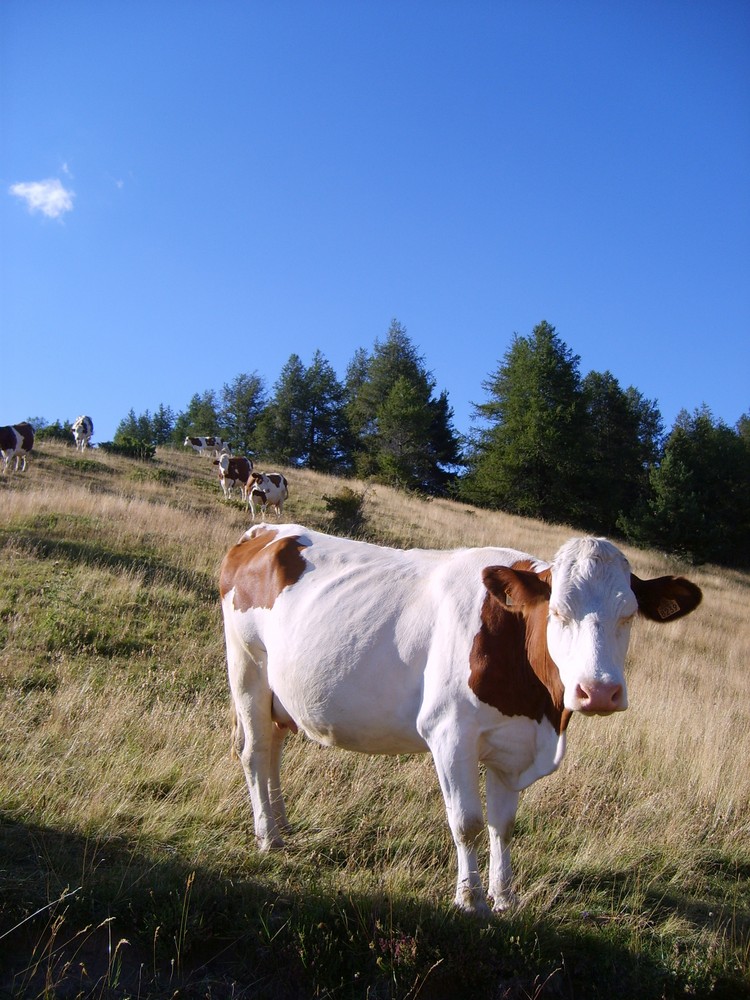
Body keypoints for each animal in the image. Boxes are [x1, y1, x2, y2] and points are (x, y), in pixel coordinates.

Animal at [220, 524, 704, 916]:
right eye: (558, 612)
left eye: (628, 614)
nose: (599, 691)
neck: (540, 712)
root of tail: (266, 531)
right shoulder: (449, 734)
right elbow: (467, 822)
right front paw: (469, 899)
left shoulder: (513, 743)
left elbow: (502, 826)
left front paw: (505, 898)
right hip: (246, 669)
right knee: (254, 751)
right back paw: (267, 836)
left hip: (280, 696)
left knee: (274, 749)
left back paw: (283, 827)